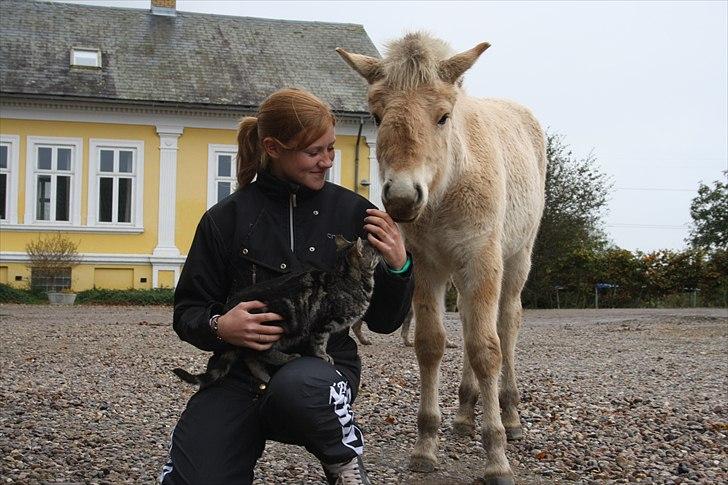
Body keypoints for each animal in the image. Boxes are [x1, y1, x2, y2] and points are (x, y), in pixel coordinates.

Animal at [173, 234, 378, 386]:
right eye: (375, 251)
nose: (380, 252)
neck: (346, 278)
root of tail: (228, 310)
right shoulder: (322, 323)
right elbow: (320, 343)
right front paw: (323, 356)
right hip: (278, 327)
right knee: (260, 353)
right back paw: (288, 358)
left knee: (251, 358)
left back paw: (266, 376)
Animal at [338, 32, 544, 482]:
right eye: (376, 116)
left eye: (443, 117)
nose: (401, 198)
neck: (448, 187)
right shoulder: (428, 267)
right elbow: (432, 344)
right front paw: (425, 446)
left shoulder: (482, 259)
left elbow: (487, 349)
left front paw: (496, 456)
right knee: (468, 324)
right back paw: (465, 414)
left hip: (516, 258)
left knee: (506, 324)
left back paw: (511, 416)